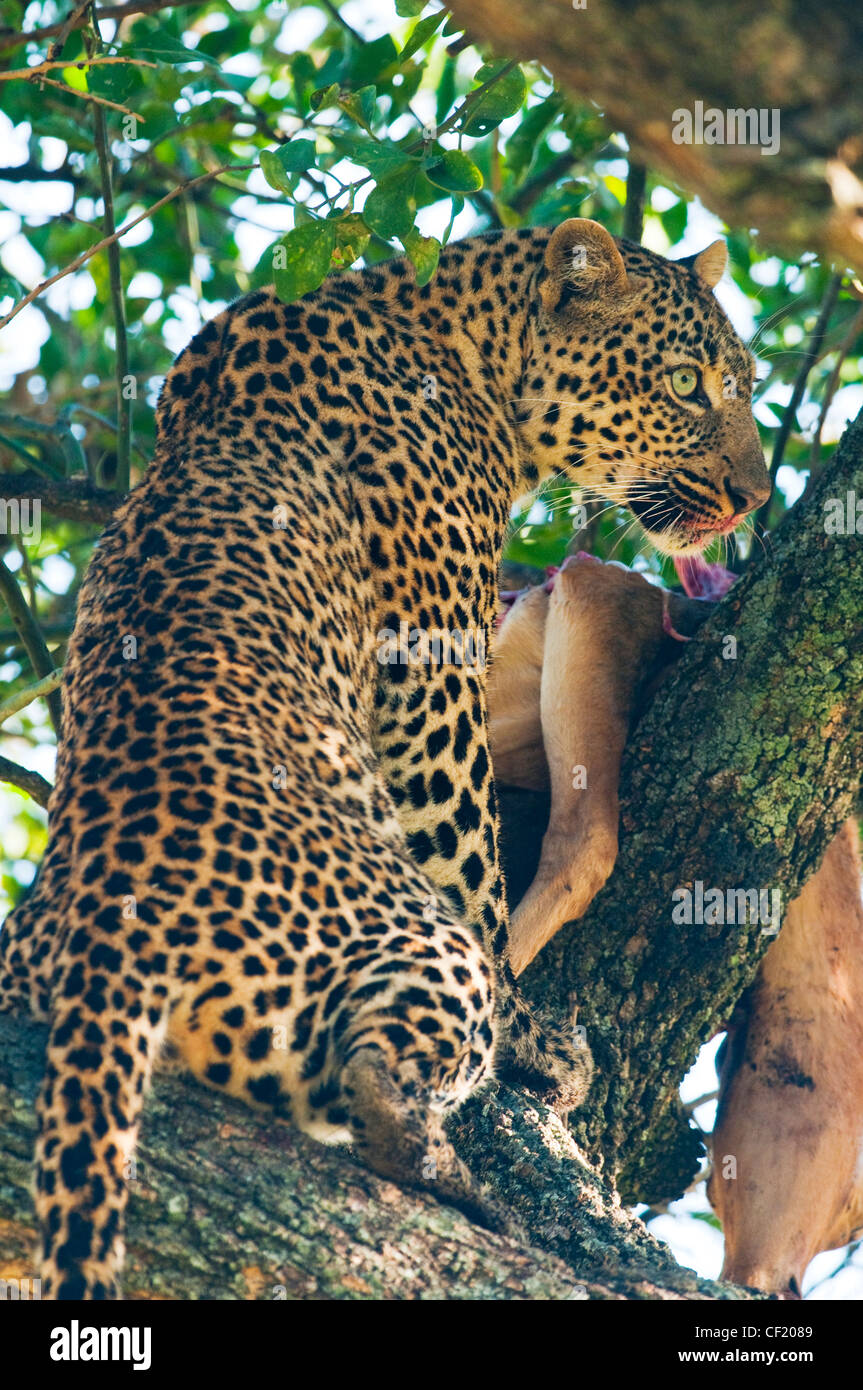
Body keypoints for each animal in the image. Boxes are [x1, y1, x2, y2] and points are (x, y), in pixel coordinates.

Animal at [0, 211, 767, 1295]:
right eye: (685, 383)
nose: (752, 497)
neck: (463, 345)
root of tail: (113, 935)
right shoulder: (428, 668)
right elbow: (472, 859)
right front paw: (534, 1039)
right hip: (409, 953)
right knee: (388, 1070)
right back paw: (463, 1176)